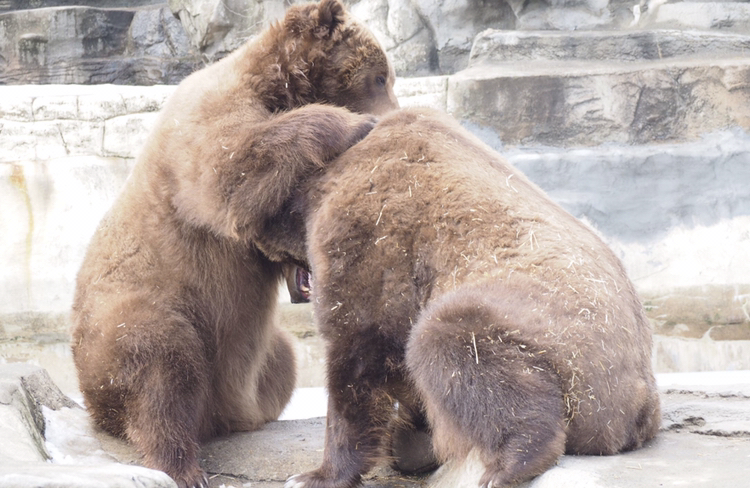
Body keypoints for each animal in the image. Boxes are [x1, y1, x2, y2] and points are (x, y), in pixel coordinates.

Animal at [70, 1, 398, 487]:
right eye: (379, 77)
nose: (395, 110)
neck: (274, 85)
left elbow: (273, 229)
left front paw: (304, 276)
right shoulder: (207, 122)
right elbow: (234, 165)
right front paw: (356, 123)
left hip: (260, 357)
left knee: (281, 356)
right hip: (131, 315)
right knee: (160, 364)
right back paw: (183, 463)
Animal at [275, 107, 661, 488]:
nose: (296, 291)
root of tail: (639, 409)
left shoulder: (374, 224)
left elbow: (360, 343)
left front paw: (316, 474)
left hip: (565, 344)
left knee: (453, 345)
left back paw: (509, 462)